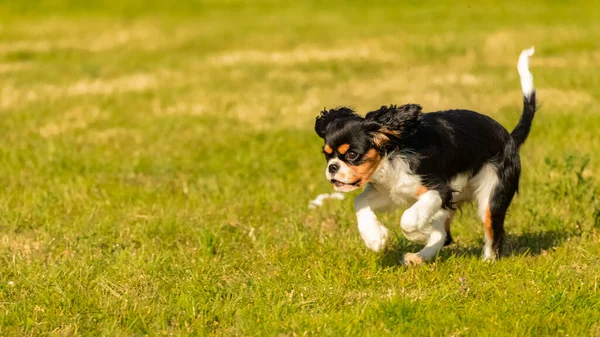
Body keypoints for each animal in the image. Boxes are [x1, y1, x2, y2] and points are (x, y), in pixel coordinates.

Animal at [314, 48, 540, 262]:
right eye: (327, 155)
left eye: (352, 154)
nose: (332, 167)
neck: (392, 154)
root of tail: (510, 138)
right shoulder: (391, 191)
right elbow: (359, 202)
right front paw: (375, 239)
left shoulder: (439, 190)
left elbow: (407, 220)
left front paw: (420, 234)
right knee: (445, 234)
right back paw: (419, 258)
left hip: (491, 194)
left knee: (492, 232)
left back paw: (486, 261)